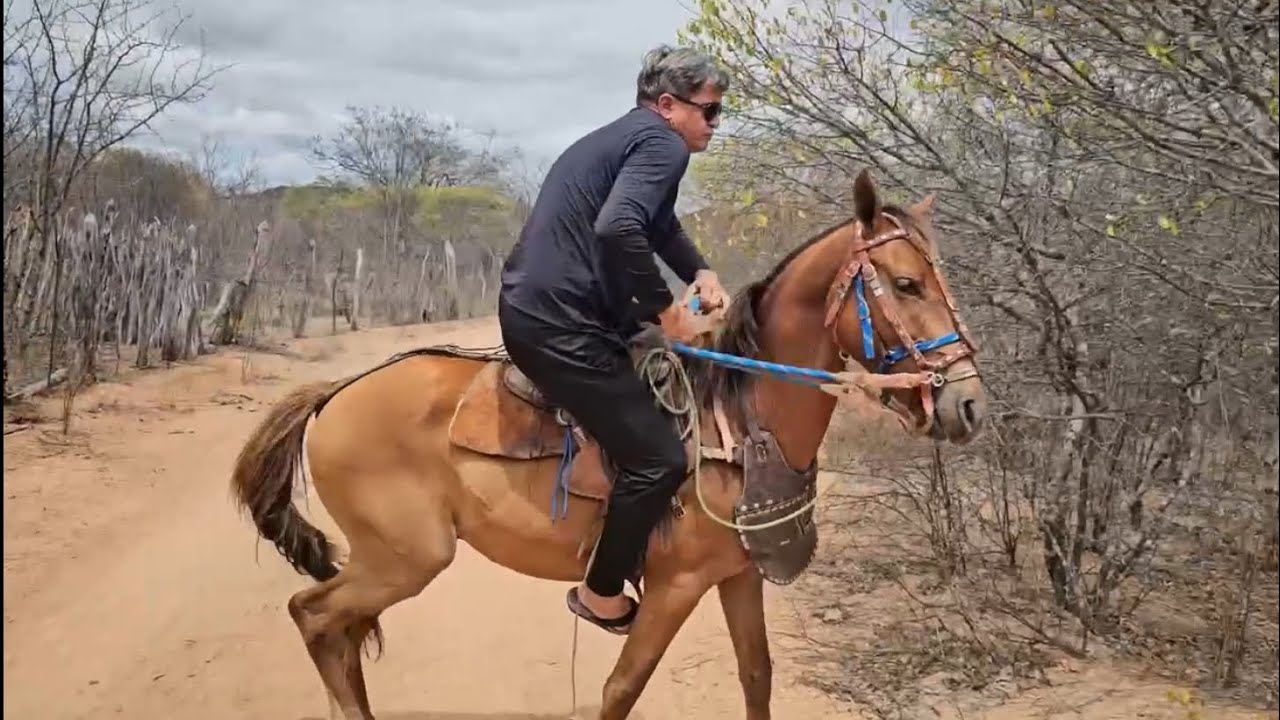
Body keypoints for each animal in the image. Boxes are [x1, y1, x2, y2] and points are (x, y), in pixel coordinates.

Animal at [230, 169, 989, 720]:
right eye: (906, 283)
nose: (968, 403)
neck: (738, 420)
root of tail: (335, 392)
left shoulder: (737, 576)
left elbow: (757, 678)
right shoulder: (674, 586)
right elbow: (621, 691)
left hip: (390, 562)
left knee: (337, 632)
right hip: (407, 558)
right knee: (314, 617)